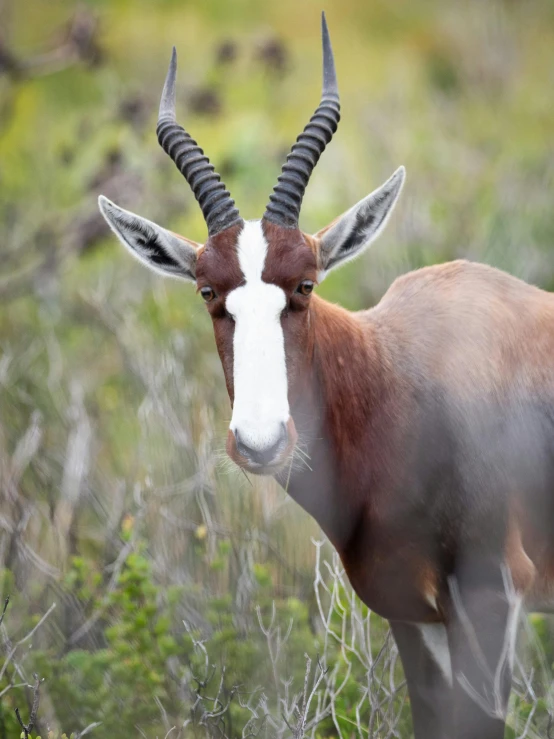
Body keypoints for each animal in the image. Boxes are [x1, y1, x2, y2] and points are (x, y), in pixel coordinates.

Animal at [99, 13, 552, 739]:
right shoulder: (411, 611)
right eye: (207, 291)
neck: (399, 375)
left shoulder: (491, 595)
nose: (261, 442)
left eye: (305, 283)